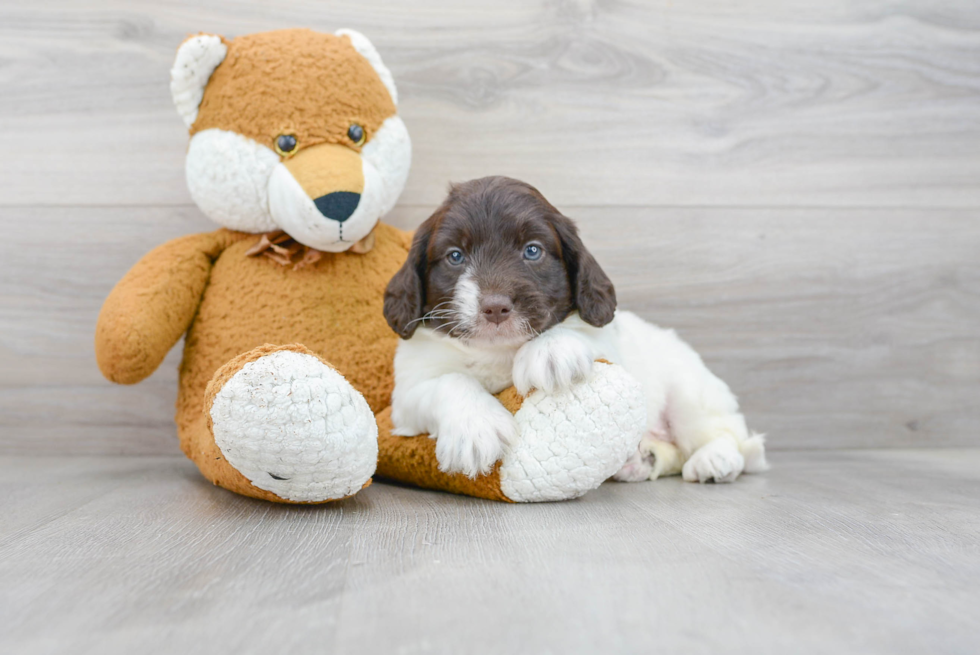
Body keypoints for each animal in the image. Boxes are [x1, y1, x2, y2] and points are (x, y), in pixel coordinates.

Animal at [380, 177, 764, 484]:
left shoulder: (611, 343)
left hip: (690, 393)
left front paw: (551, 350)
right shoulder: (407, 395)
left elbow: (581, 330)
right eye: (455, 256)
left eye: (532, 250)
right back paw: (641, 461)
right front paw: (475, 428)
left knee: (724, 434)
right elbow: (448, 382)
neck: (498, 351)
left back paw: (715, 458)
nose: (495, 307)